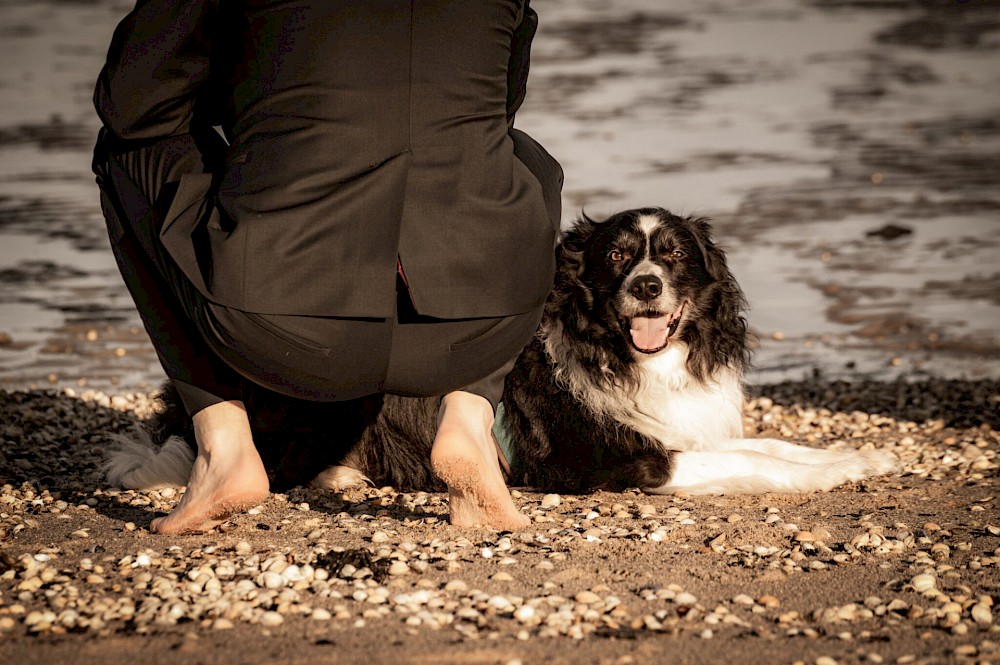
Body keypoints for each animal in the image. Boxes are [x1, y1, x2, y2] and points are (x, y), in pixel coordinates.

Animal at [107, 210, 900, 496]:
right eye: (617, 256)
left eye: (674, 255)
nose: (646, 285)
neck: (633, 358)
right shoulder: (608, 460)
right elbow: (756, 461)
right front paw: (837, 471)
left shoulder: (681, 425)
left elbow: (772, 443)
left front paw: (861, 455)